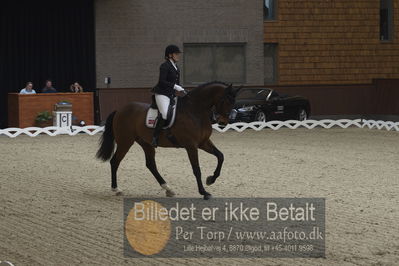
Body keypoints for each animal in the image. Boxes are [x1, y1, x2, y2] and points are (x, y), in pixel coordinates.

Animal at [96, 81, 241, 200]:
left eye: (233, 101)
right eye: (225, 100)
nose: (223, 122)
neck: (195, 111)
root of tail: (119, 110)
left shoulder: (203, 142)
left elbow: (220, 156)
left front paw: (211, 179)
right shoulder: (191, 146)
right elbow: (196, 169)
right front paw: (204, 192)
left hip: (146, 143)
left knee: (150, 165)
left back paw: (168, 189)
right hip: (125, 142)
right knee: (115, 161)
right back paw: (116, 189)